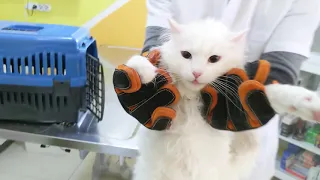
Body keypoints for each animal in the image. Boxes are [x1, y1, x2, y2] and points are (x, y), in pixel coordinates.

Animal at [124, 18, 320, 180]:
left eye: (214, 59)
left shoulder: (248, 92)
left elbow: (271, 92)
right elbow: (135, 63)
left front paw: (308, 103)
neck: (191, 98)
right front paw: (145, 72)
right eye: (186, 55)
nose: (196, 73)